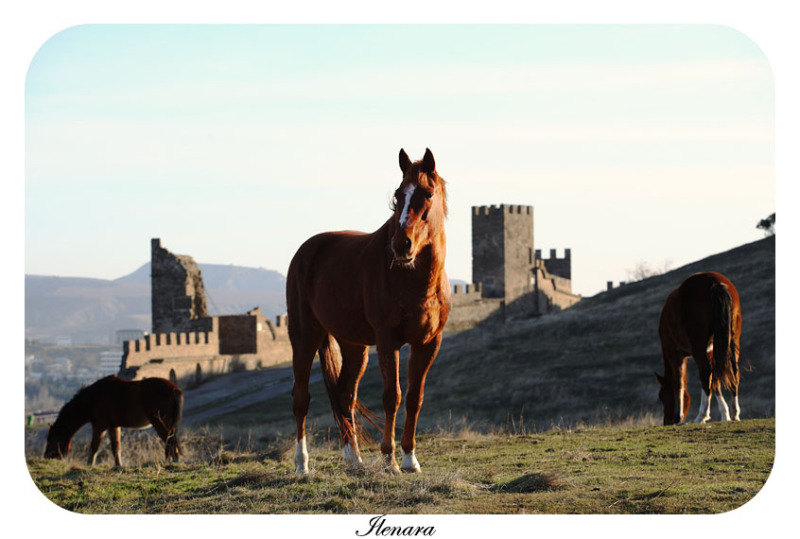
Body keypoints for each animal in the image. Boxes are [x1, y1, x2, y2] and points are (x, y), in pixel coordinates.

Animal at [44, 376, 184, 468]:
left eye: (53, 440)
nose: (47, 457)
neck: (92, 399)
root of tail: (174, 389)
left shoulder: (99, 426)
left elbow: (94, 447)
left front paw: (89, 464)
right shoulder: (113, 426)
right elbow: (116, 447)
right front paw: (118, 465)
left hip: (159, 422)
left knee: (170, 439)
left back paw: (172, 460)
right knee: (172, 439)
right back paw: (173, 459)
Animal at [288, 147, 450, 472]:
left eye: (427, 193)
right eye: (399, 194)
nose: (402, 245)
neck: (415, 281)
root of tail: (305, 251)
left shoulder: (428, 343)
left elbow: (414, 397)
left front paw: (410, 458)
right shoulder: (388, 341)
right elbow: (392, 396)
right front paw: (389, 459)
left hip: (354, 346)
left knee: (344, 395)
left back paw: (353, 459)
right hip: (304, 337)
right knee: (302, 397)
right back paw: (302, 464)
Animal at [656, 274, 744, 426]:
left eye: (662, 396)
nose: (666, 421)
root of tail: (716, 283)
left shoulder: (674, 353)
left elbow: (678, 382)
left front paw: (678, 415)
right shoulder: (711, 351)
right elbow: (715, 381)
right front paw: (725, 414)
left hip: (698, 346)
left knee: (705, 372)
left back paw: (701, 416)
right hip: (732, 340)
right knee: (733, 371)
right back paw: (735, 413)